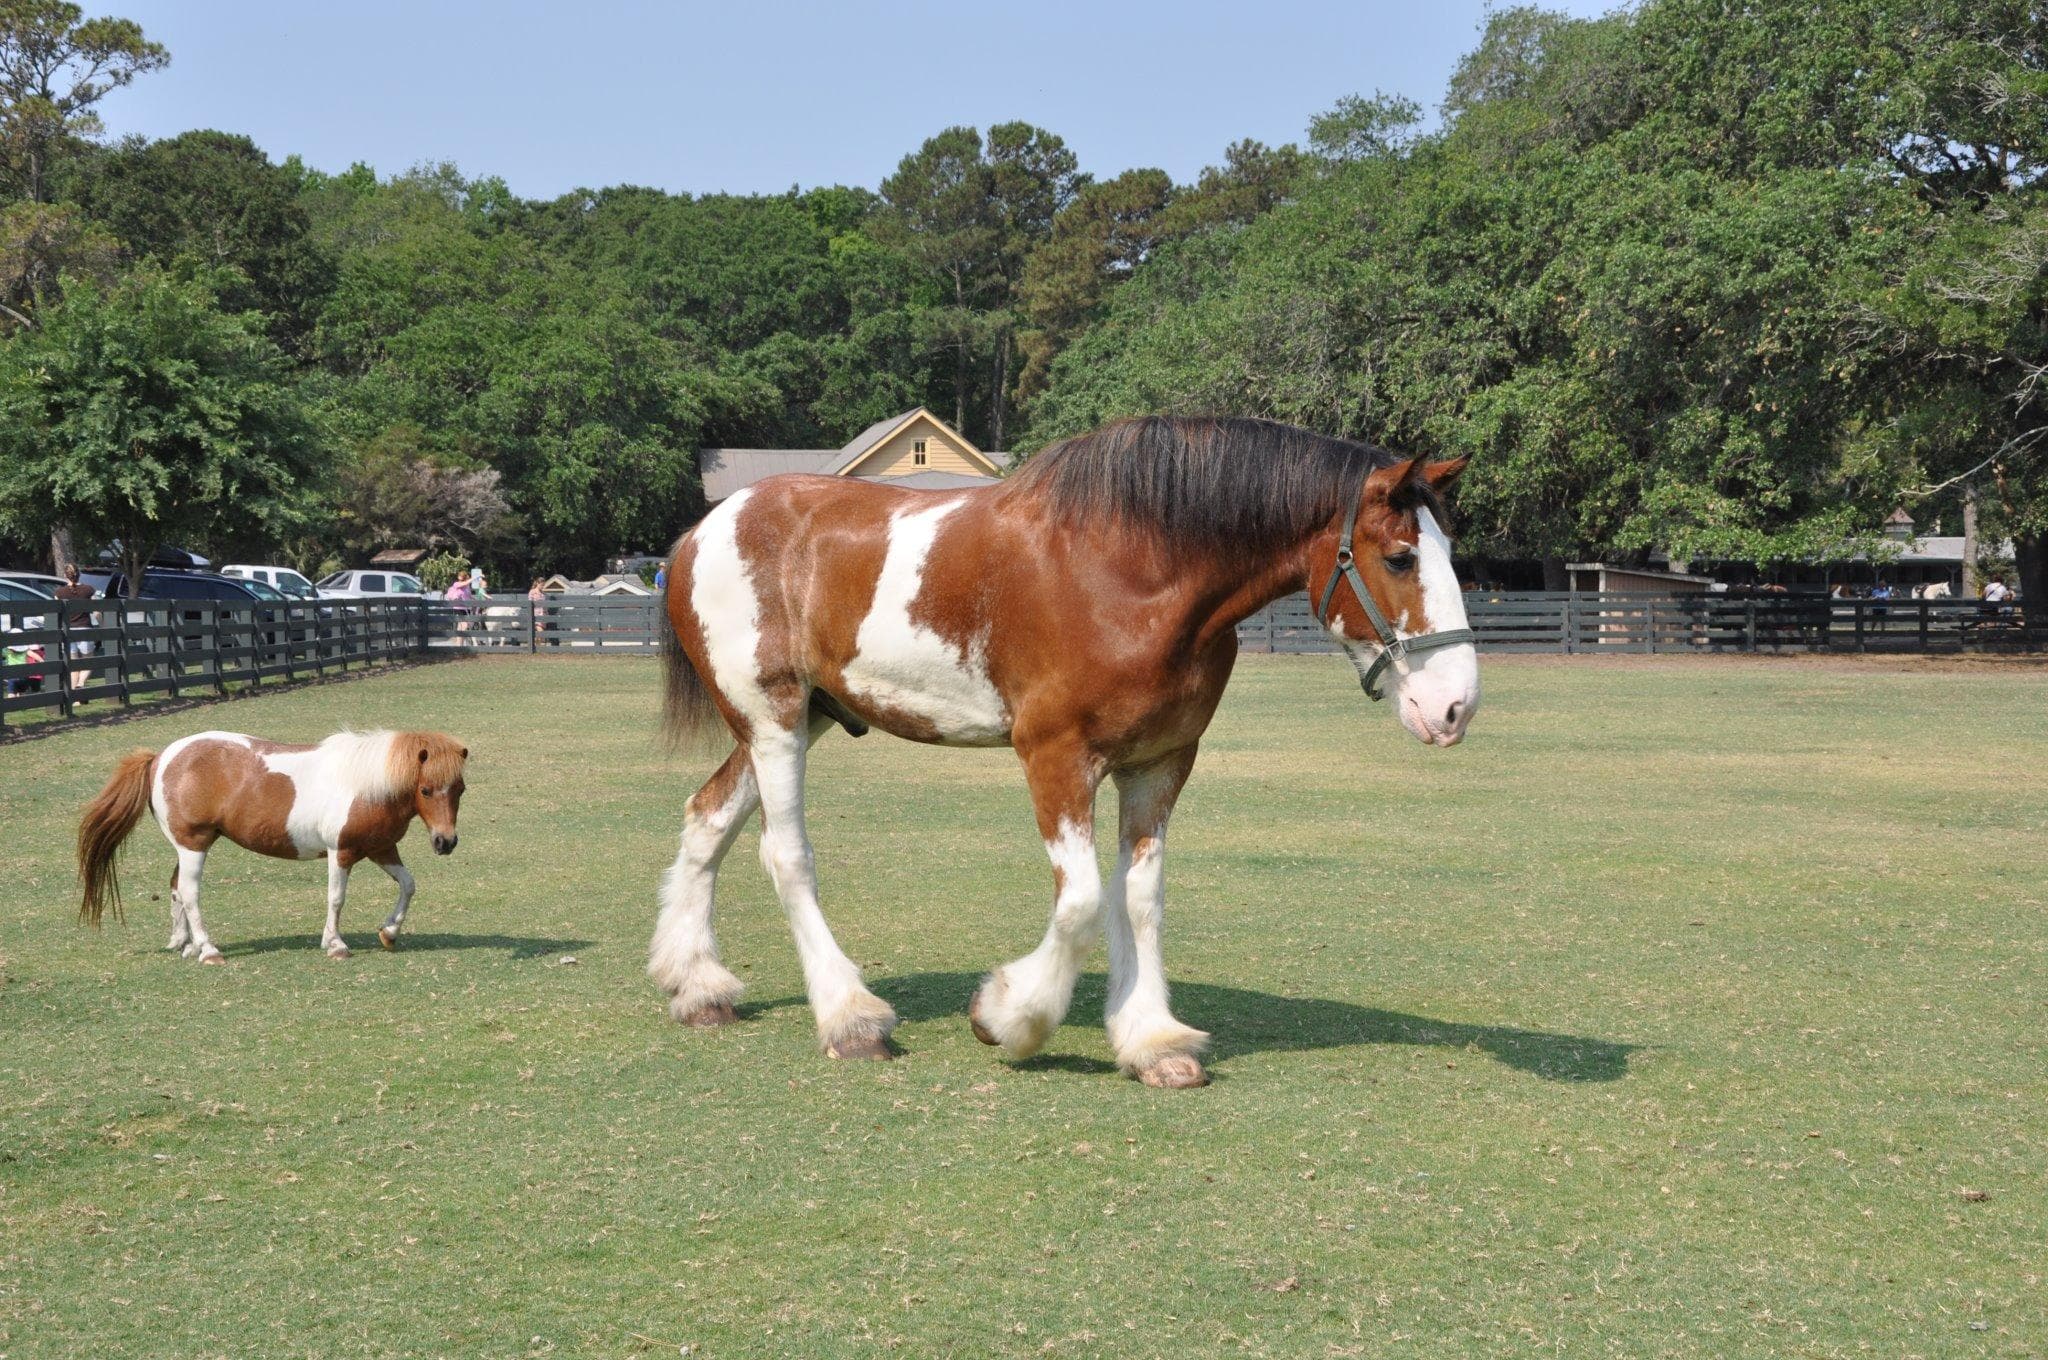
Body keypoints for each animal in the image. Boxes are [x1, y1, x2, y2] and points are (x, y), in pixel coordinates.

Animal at [77, 729, 468, 963]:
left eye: (460, 789)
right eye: (426, 790)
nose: (445, 841)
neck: (365, 785)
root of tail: (160, 757)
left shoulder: (380, 849)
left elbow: (408, 885)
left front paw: (389, 933)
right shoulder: (340, 852)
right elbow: (336, 898)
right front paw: (335, 944)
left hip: (188, 847)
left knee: (175, 889)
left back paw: (184, 944)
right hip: (193, 845)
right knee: (189, 893)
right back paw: (208, 950)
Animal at [651, 415, 1479, 1088]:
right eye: (1400, 557)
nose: (1455, 706)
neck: (1131, 568)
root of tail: (705, 530)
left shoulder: (1159, 763)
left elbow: (1139, 898)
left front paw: (1152, 1040)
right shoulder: (1054, 756)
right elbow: (1081, 902)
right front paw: (1008, 1016)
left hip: (802, 719)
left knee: (707, 816)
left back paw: (697, 986)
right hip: (774, 720)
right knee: (785, 854)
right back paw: (850, 1017)